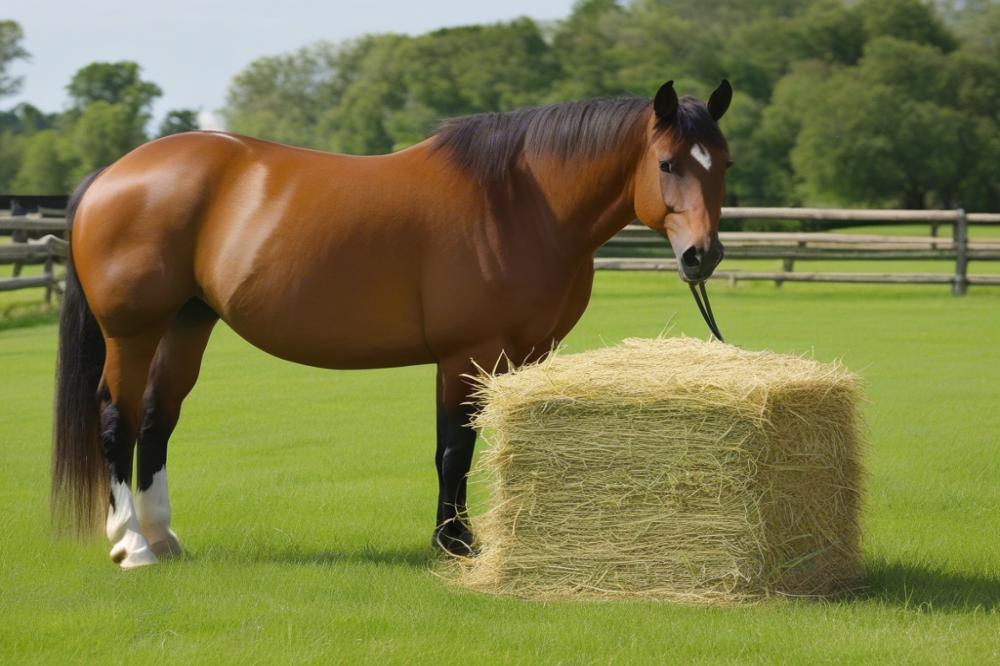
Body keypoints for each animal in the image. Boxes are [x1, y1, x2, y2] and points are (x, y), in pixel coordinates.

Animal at [50, 78, 732, 564]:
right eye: (668, 164)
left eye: (721, 162)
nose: (702, 256)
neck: (518, 201)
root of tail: (112, 174)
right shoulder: (465, 353)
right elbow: (454, 449)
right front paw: (454, 543)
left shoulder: (525, 352)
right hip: (134, 331)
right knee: (117, 417)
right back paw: (132, 545)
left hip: (187, 324)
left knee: (157, 421)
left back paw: (164, 538)